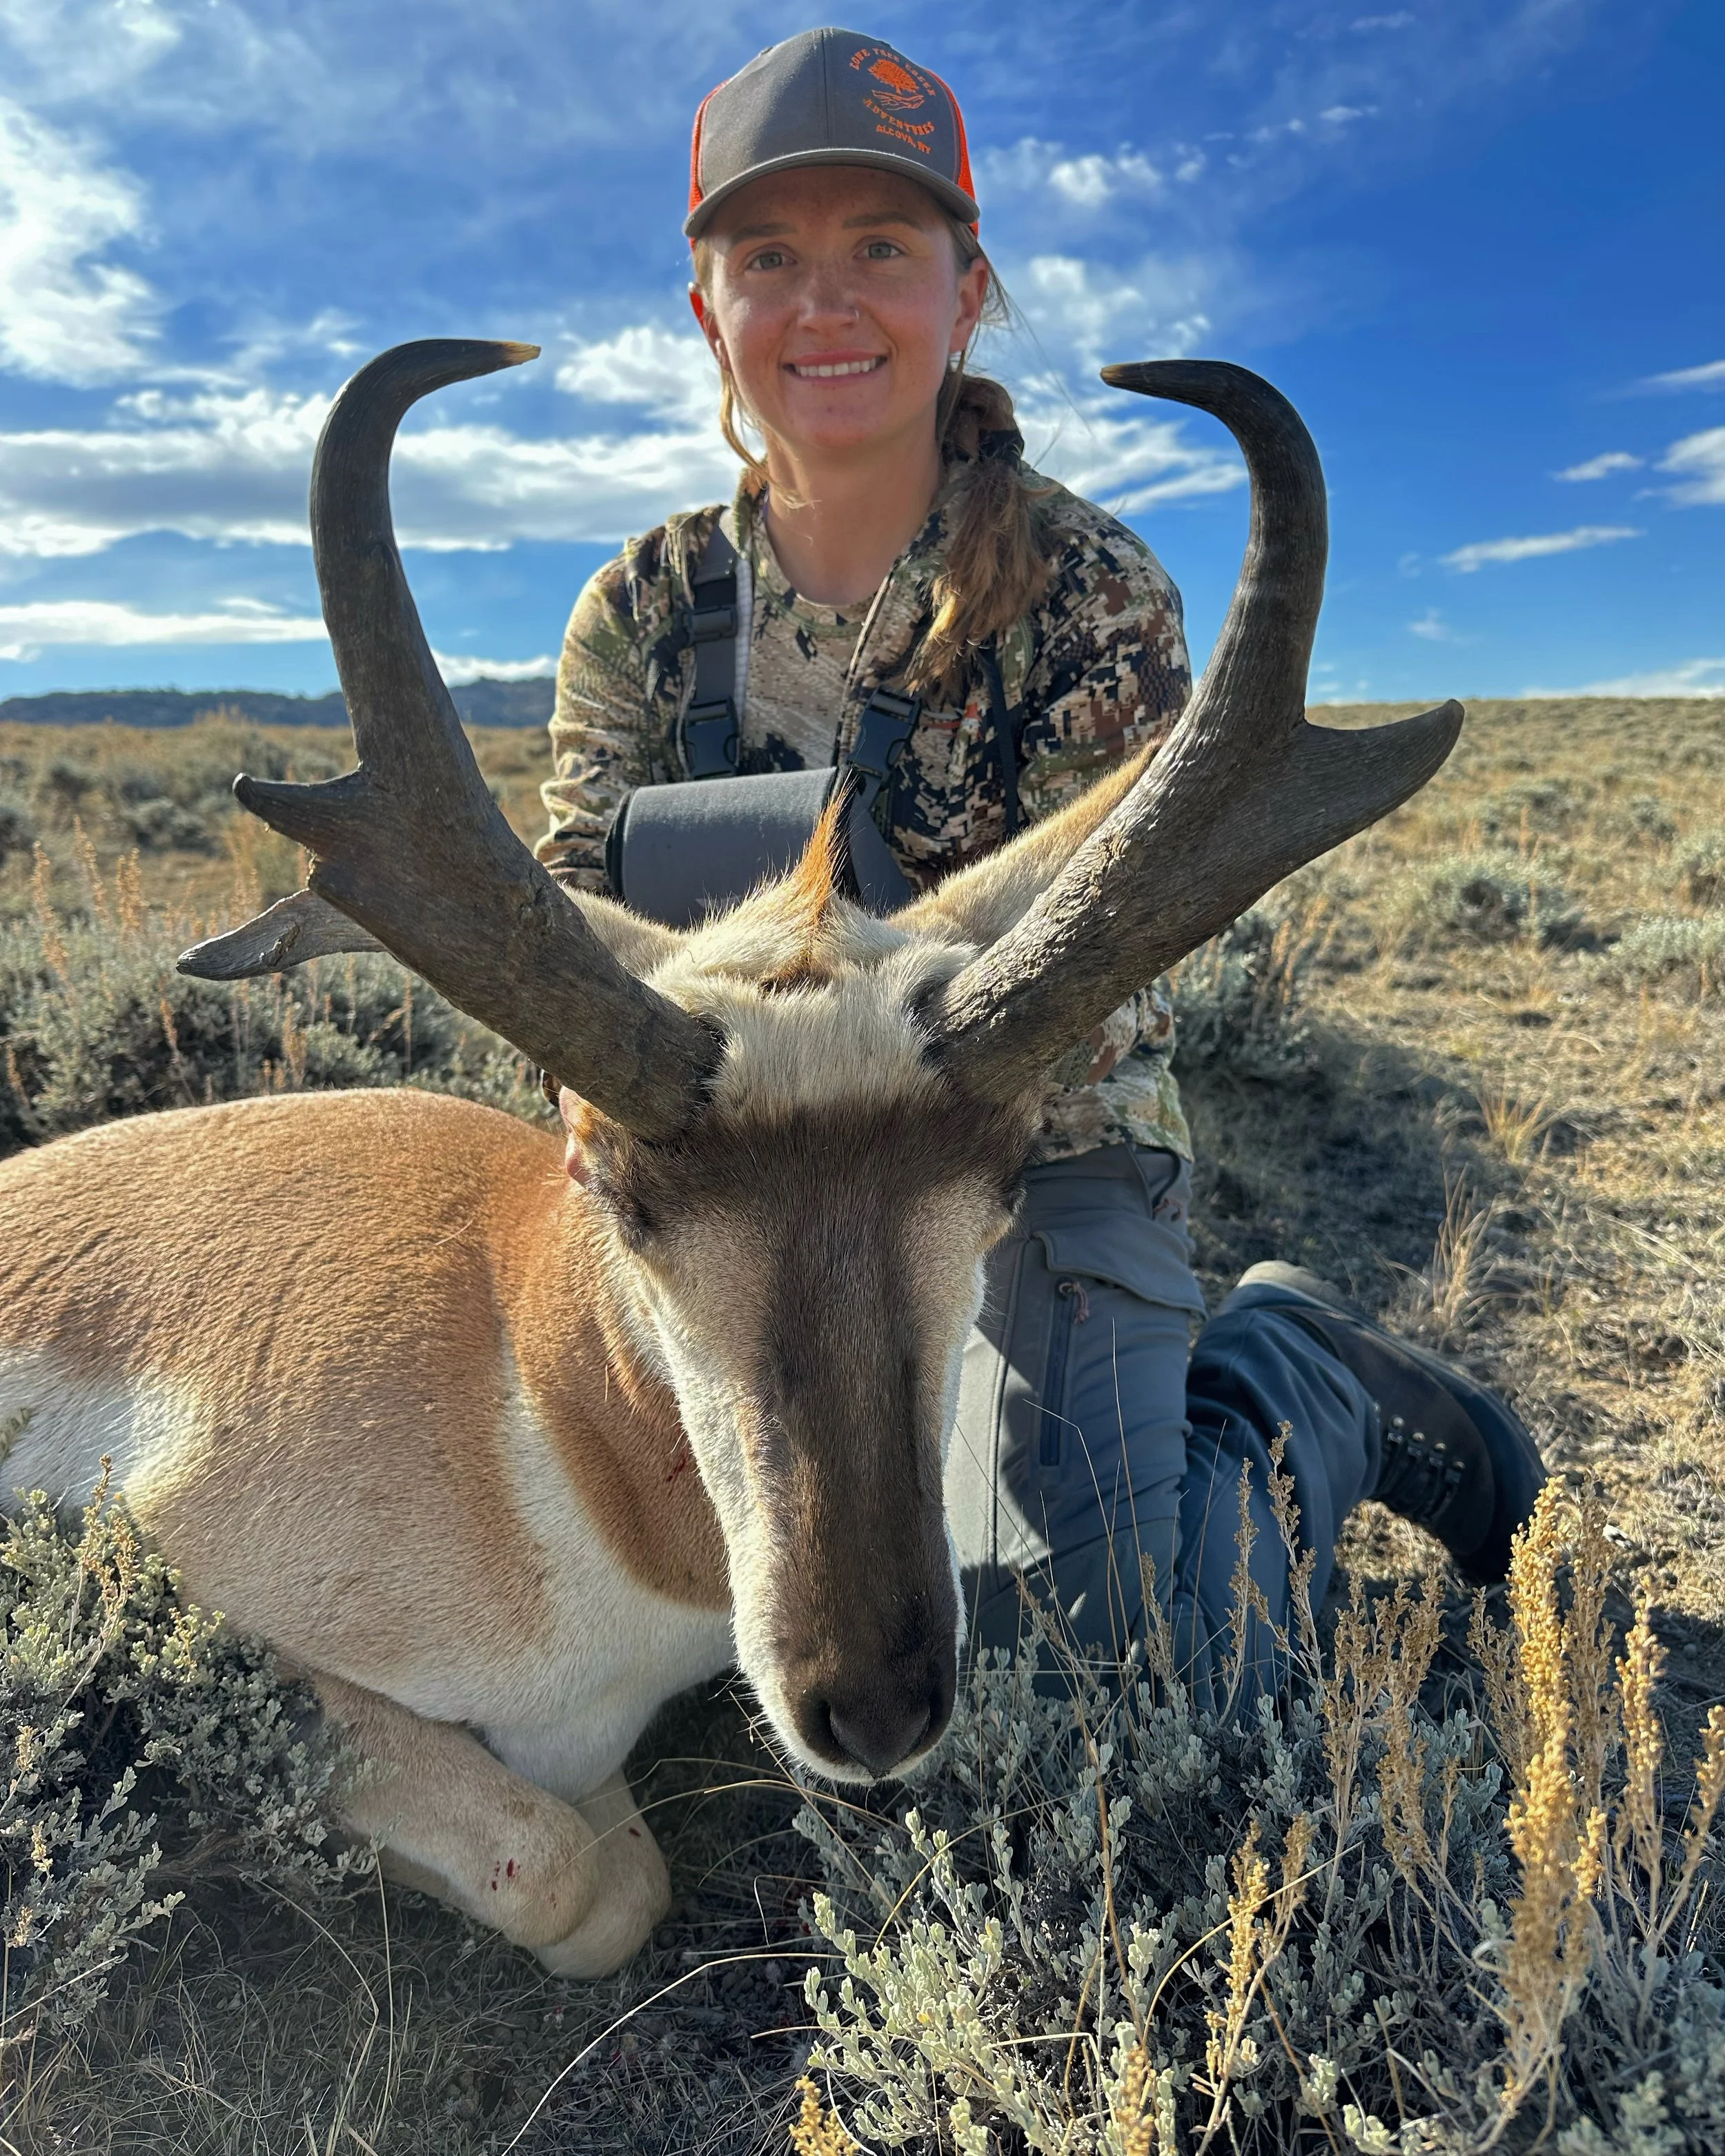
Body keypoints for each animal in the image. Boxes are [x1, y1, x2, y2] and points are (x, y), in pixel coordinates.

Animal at [0, 341, 1463, 1976]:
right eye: (617, 1189)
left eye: (1005, 1175)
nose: (875, 1701)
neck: (522, 1366)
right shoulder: (208, 1595)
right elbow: (570, 1871)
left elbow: (609, 1864)